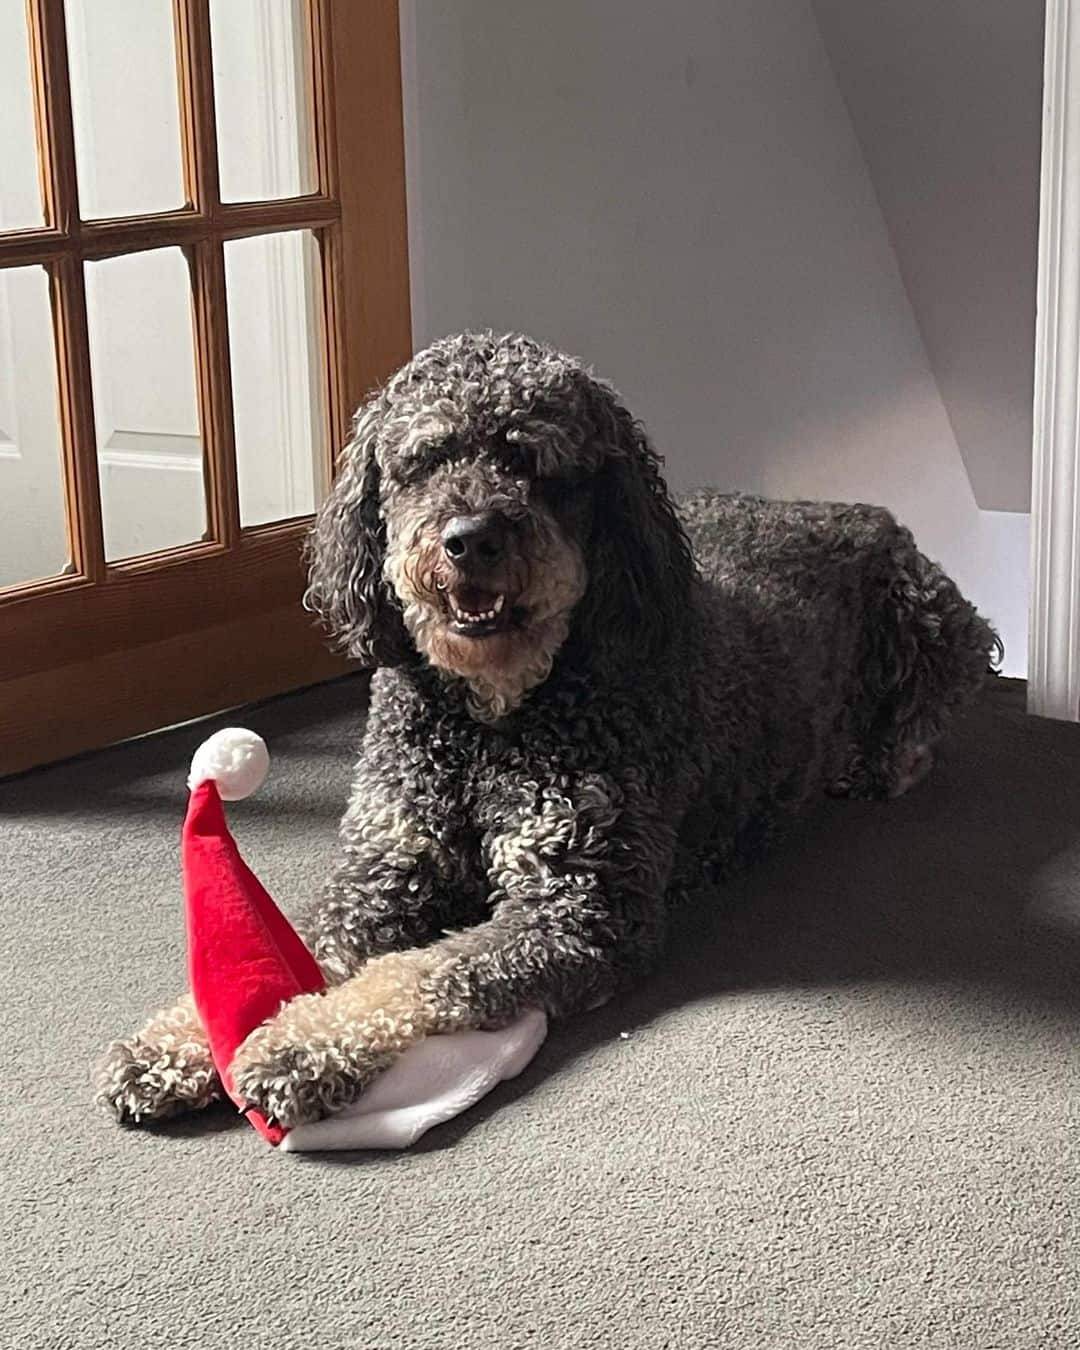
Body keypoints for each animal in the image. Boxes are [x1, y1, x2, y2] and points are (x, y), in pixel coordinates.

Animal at [95, 329, 1004, 1128]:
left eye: (533, 462)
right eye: (425, 460)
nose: (470, 539)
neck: (492, 721)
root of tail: (846, 505)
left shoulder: (576, 908)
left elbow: (418, 972)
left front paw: (297, 1046)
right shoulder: (381, 871)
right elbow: (300, 939)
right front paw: (180, 1040)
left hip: (935, 620)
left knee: (933, 708)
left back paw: (878, 757)